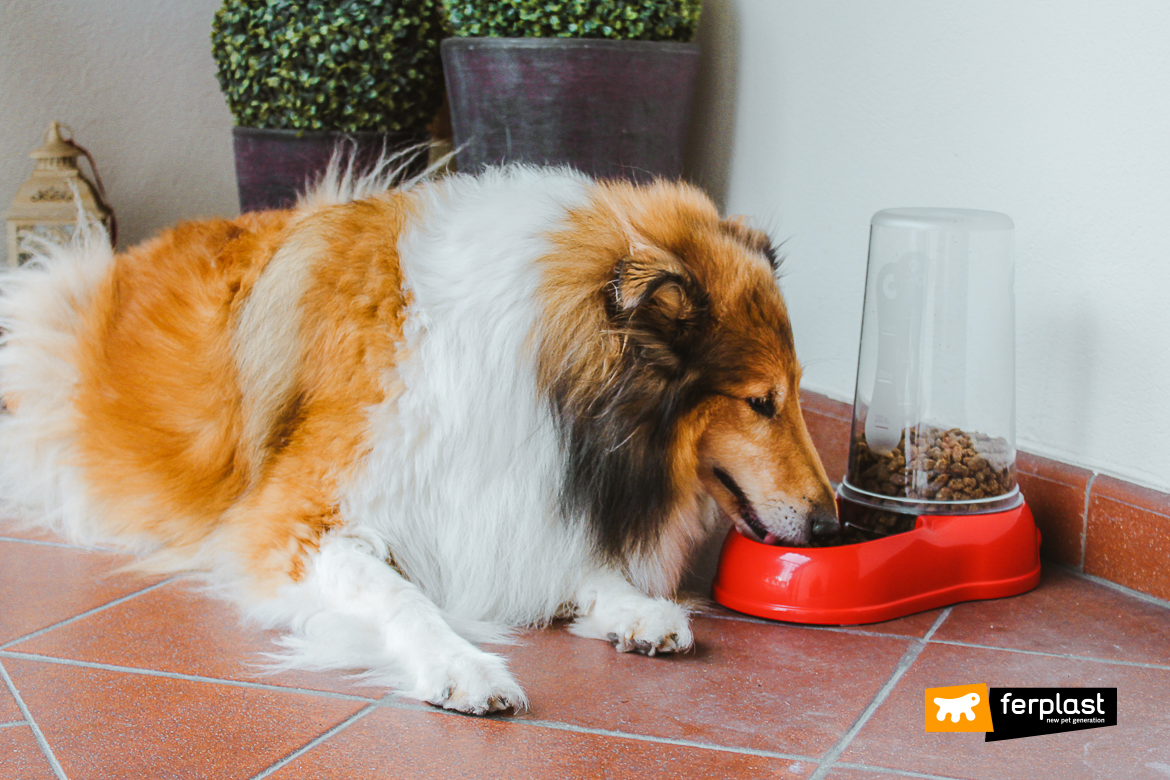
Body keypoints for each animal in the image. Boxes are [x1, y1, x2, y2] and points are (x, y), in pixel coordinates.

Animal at [2, 159, 842, 715]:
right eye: (760, 402)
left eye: (795, 393)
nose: (832, 527)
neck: (533, 370)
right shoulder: (293, 523)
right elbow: (400, 596)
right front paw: (465, 667)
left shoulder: (512, 494)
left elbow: (562, 559)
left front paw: (635, 609)